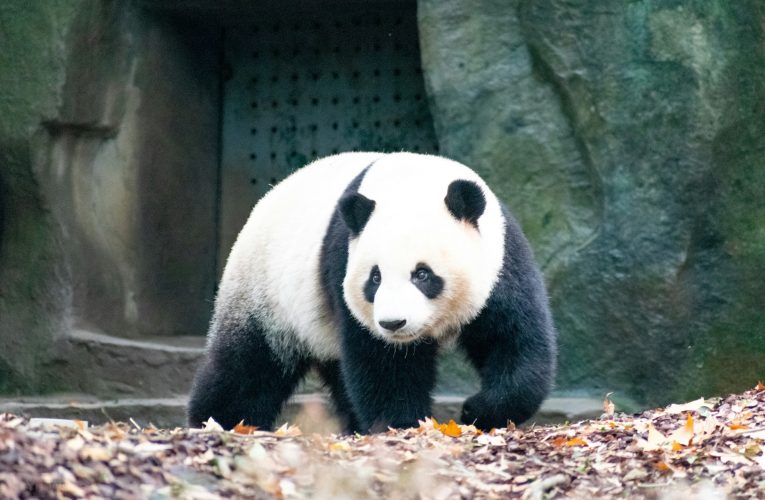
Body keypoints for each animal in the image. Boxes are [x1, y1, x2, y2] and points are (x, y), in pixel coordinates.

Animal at [185, 152, 556, 434]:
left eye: (423, 274)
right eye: (374, 278)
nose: (394, 323)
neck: (411, 182)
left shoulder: (501, 261)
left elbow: (515, 340)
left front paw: (478, 410)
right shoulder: (343, 262)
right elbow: (382, 363)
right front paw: (403, 424)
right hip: (265, 291)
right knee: (249, 364)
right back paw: (218, 420)